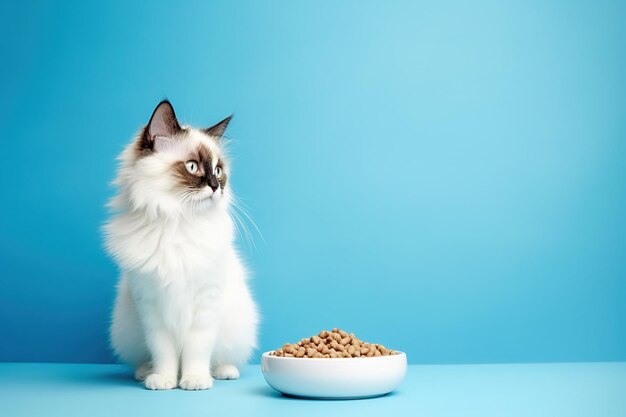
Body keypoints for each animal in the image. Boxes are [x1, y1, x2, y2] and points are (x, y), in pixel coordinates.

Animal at [105, 101, 258, 390]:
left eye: (218, 171)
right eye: (192, 166)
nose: (215, 187)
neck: (177, 220)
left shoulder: (206, 303)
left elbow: (197, 350)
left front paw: (194, 380)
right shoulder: (151, 307)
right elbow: (163, 352)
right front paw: (164, 380)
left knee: (222, 359)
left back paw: (223, 372)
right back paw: (145, 373)